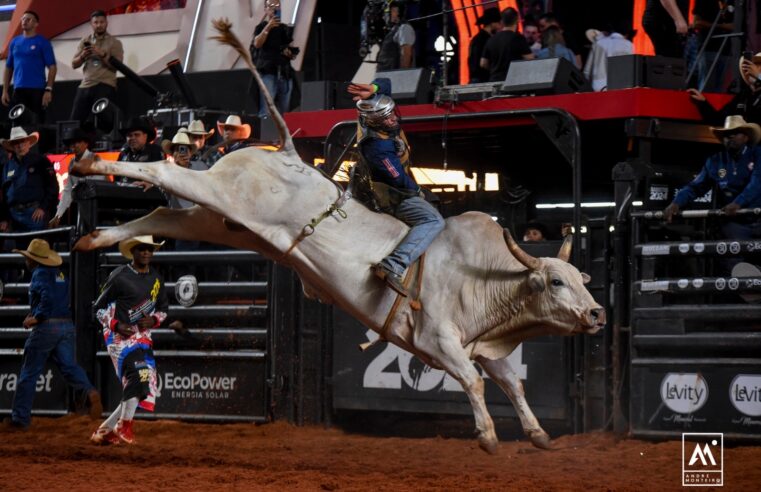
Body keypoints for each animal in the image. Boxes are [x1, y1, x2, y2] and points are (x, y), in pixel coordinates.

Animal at [71, 21, 604, 456]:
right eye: (556, 282)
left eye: (582, 278)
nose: (597, 313)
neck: (485, 279)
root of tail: (286, 152)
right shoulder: (439, 339)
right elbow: (473, 382)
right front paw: (489, 437)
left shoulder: (484, 344)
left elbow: (513, 383)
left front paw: (538, 434)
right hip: (217, 192)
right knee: (163, 170)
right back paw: (86, 164)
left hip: (218, 220)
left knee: (162, 212)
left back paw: (91, 239)